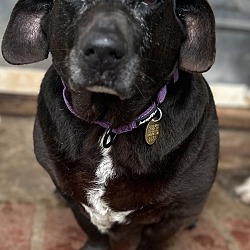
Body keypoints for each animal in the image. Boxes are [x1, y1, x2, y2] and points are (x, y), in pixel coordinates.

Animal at [1, 0, 219, 249]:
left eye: (151, 2)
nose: (102, 52)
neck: (108, 126)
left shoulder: (177, 214)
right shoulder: (76, 203)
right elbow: (93, 231)